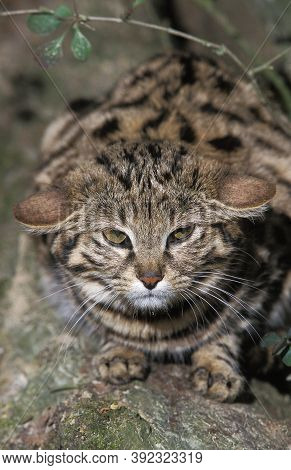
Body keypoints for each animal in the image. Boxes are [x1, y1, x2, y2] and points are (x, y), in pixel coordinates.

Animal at [13, 53, 291, 402]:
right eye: (116, 236)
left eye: (181, 234)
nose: (150, 279)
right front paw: (120, 351)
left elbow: (233, 324)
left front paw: (217, 365)